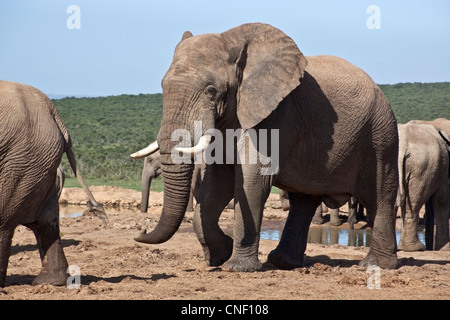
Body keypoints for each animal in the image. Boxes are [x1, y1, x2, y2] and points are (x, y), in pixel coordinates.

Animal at [133, 23, 398, 272]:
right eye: (163, 86)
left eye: (211, 91)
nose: (140, 233)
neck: (232, 42)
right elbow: (217, 183)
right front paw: (219, 257)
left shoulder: (276, 114)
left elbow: (252, 180)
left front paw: (237, 268)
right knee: (304, 199)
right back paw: (282, 262)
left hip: (380, 136)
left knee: (380, 195)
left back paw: (376, 265)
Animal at [398, 121, 450, 251]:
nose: (429, 248)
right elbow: (442, 199)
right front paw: (445, 248)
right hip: (422, 167)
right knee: (414, 204)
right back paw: (416, 248)